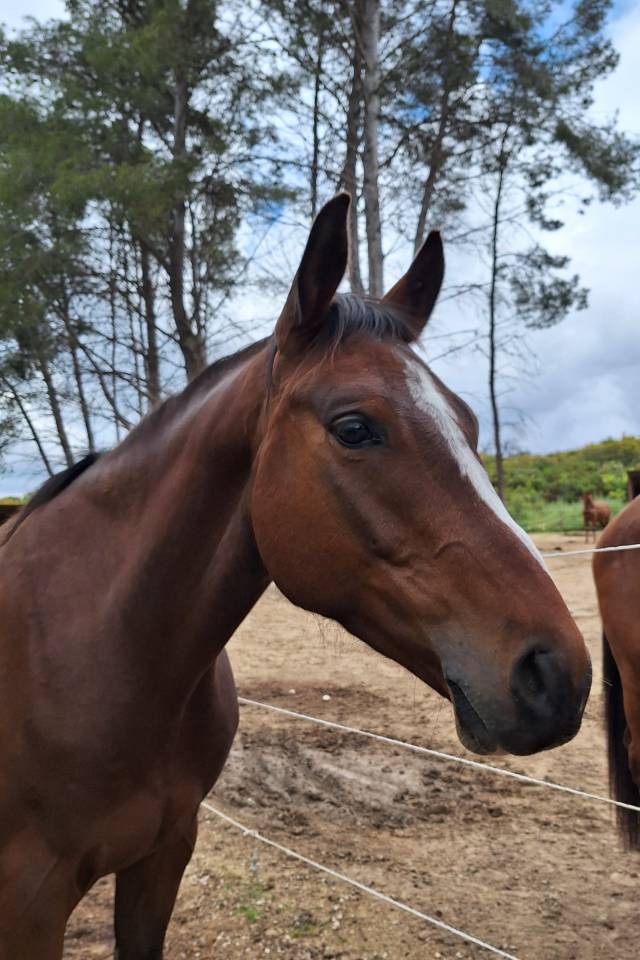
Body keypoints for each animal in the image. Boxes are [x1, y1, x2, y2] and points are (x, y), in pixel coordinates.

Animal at [0, 194, 591, 959]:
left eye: (467, 423)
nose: (559, 675)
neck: (93, 653)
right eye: (354, 428)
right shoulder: (29, 902)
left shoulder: (163, 856)